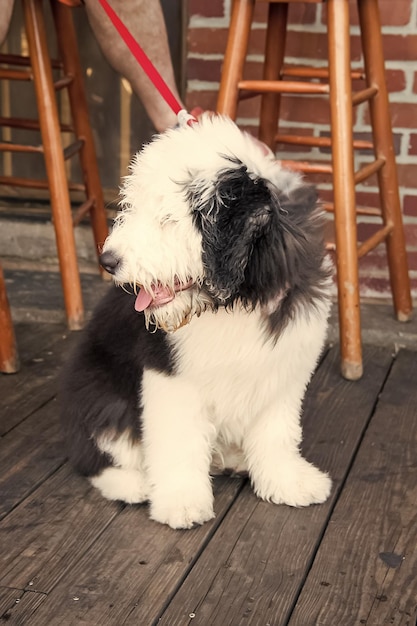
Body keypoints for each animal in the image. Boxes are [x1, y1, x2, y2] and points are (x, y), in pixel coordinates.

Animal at [61, 113, 334, 528]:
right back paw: (133, 484)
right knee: (94, 453)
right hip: (99, 392)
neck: (233, 302)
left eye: (168, 219)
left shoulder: (282, 367)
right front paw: (182, 502)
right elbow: (178, 442)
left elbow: (277, 432)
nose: (108, 261)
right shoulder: (171, 375)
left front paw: (288, 482)